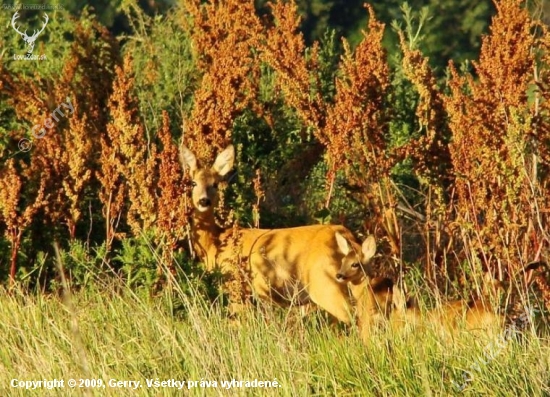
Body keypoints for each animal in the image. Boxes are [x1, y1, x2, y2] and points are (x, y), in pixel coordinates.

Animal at [179, 142, 390, 340]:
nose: (203, 201)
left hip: (325, 284)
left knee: (356, 318)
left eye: (215, 184)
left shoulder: (235, 287)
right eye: (193, 183)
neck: (216, 243)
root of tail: (348, 238)